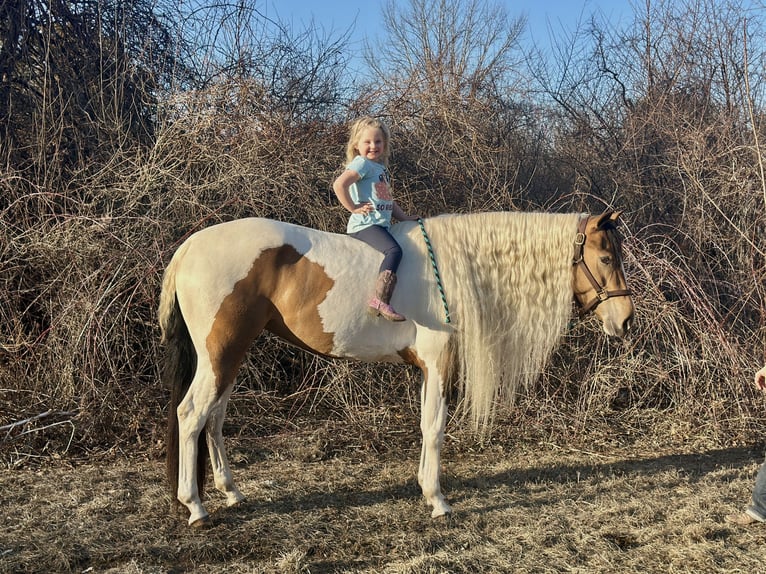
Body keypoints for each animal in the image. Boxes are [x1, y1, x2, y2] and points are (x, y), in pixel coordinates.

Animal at [159, 210, 632, 528]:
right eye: (606, 258)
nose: (625, 319)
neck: (458, 268)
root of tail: (189, 247)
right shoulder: (439, 363)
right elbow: (436, 427)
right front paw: (439, 500)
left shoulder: (426, 368)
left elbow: (425, 425)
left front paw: (425, 488)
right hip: (221, 354)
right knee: (191, 415)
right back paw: (196, 506)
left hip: (229, 357)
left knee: (215, 419)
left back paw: (231, 492)